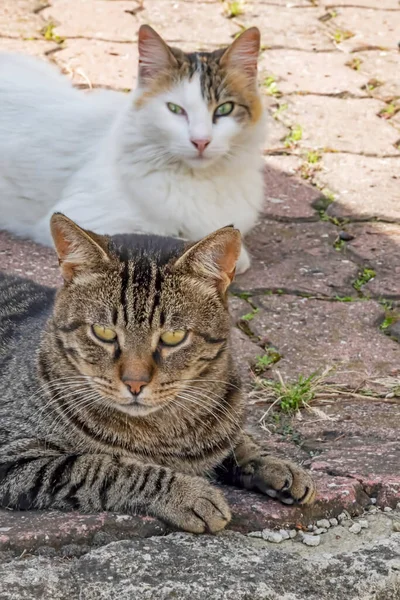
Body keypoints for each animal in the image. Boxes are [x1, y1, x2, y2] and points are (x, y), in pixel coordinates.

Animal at [0, 214, 314, 528]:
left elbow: (238, 441)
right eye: (103, 332)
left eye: (173, 337)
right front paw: (188, 493)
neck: (164, 432)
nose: (135, 383)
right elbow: (105, 467)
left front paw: (276, 464)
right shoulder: (15, 458)